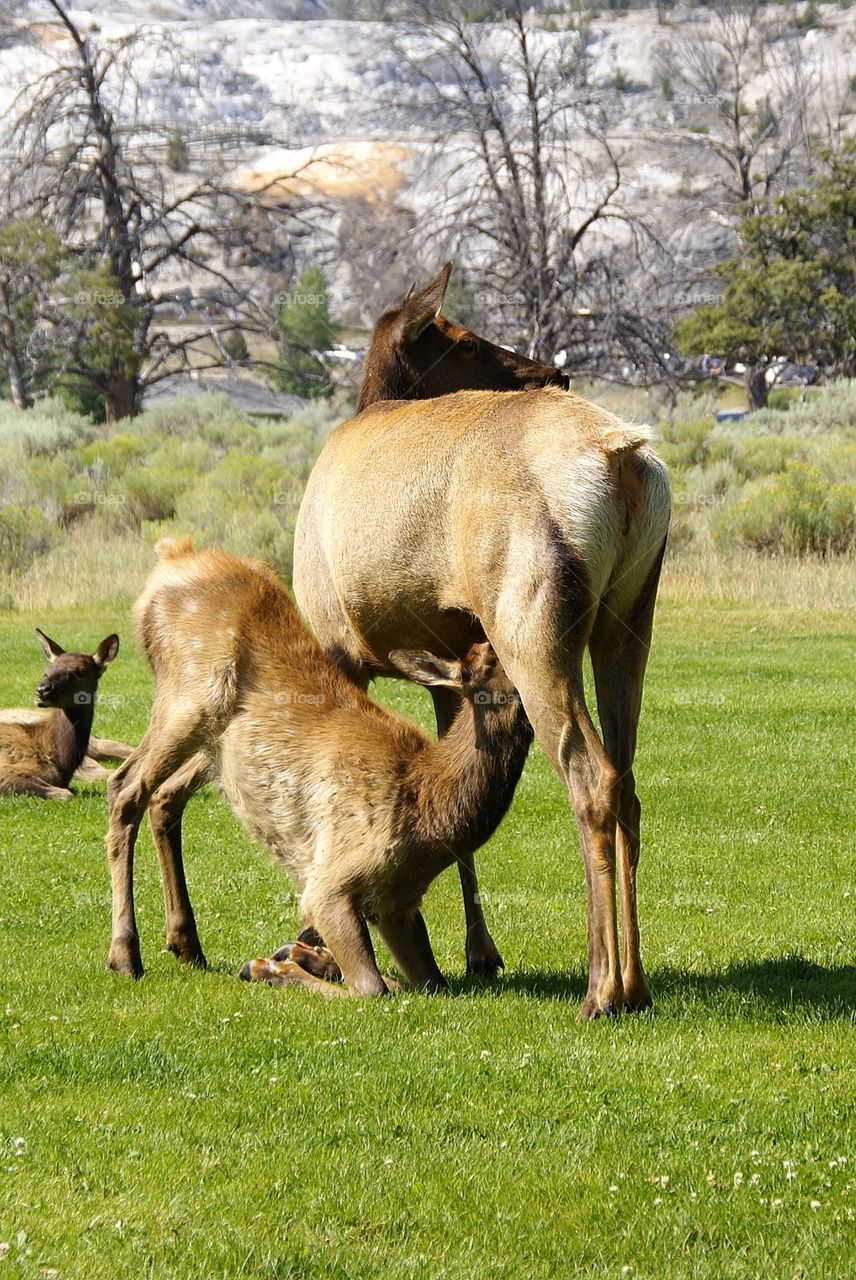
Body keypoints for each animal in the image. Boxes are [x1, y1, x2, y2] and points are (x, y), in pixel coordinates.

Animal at [104, 539, 533, 995]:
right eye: (493, 655)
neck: (428, 817)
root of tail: (171, 556)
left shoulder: (397, 906)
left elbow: (427, 981)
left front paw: (302, 955)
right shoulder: (331, 881)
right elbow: (372, 985)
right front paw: (271, 965)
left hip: (211, 742)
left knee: (163, 796)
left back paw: (186, 944)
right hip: (189, 699)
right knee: (125, 787)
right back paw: (125, 954)